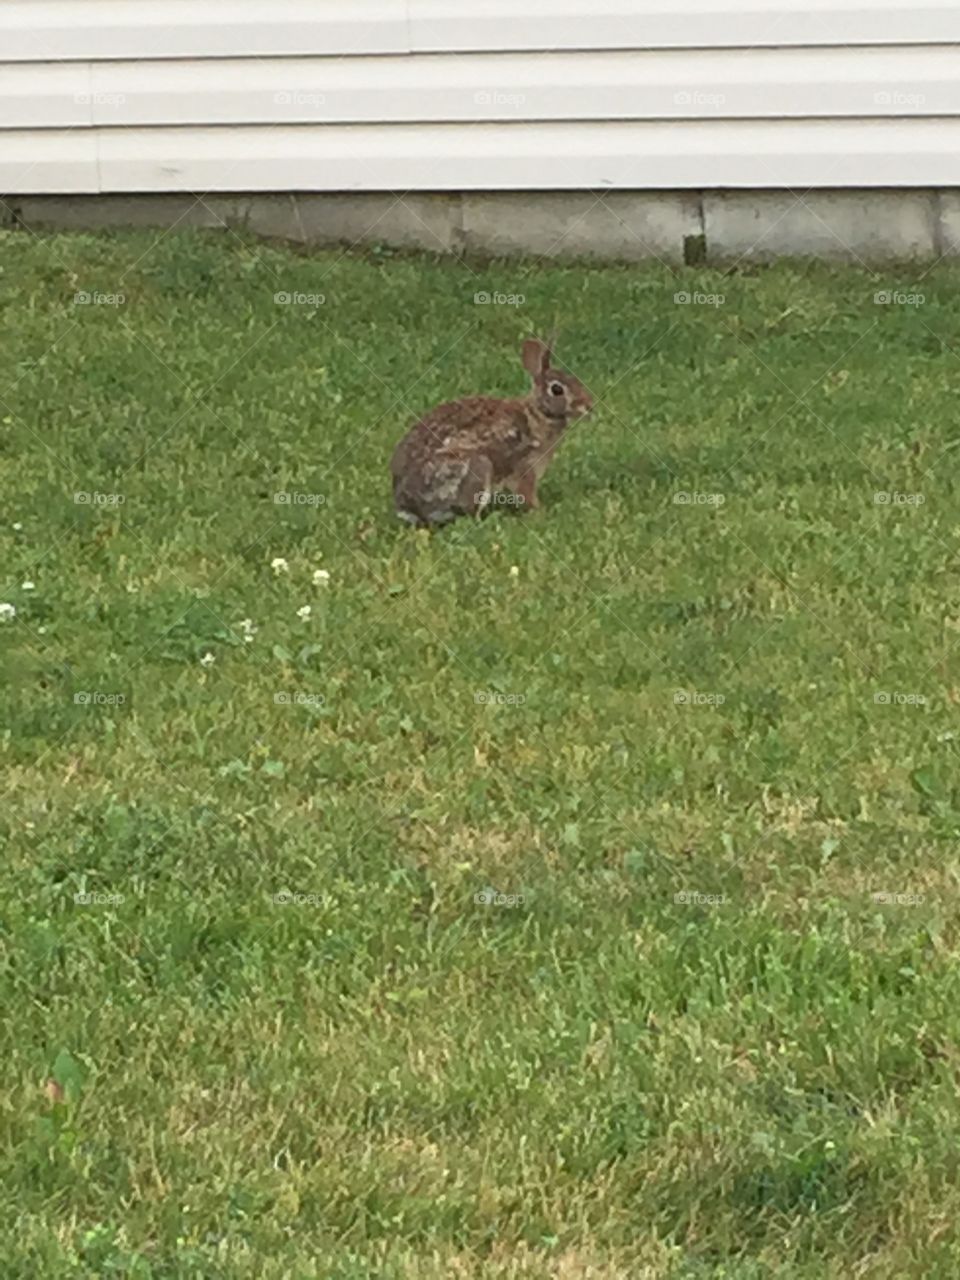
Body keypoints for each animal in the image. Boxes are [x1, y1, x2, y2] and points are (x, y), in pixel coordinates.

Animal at [391, 336, 593, 527]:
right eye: (557, 389)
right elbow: (526, 493)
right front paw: (539, 512)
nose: (588, 405)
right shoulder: (525, 467)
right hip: (476, 469)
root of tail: (407, 506)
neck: (538, 413)